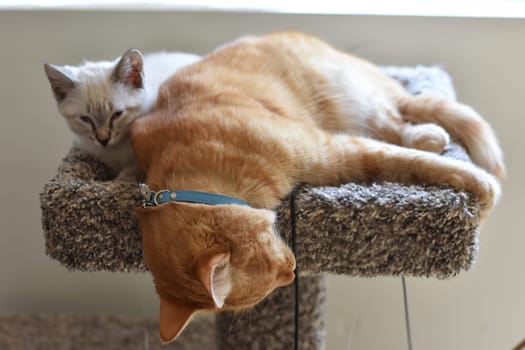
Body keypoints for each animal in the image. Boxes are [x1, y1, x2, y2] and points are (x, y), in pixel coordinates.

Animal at [44, 50, 200, 180]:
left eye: (117, 115)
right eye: (85, 119)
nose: (103, 140)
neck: (117, 151)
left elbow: (130, 171)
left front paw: (120, 182)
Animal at [130, 31, 504, 344]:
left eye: (271, 270)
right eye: (268, 285)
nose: (293, 272)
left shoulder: (331, 149)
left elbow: (412, 162)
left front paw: (482, 187)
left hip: (353, 98)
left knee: (399, 119)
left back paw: (429, 135)